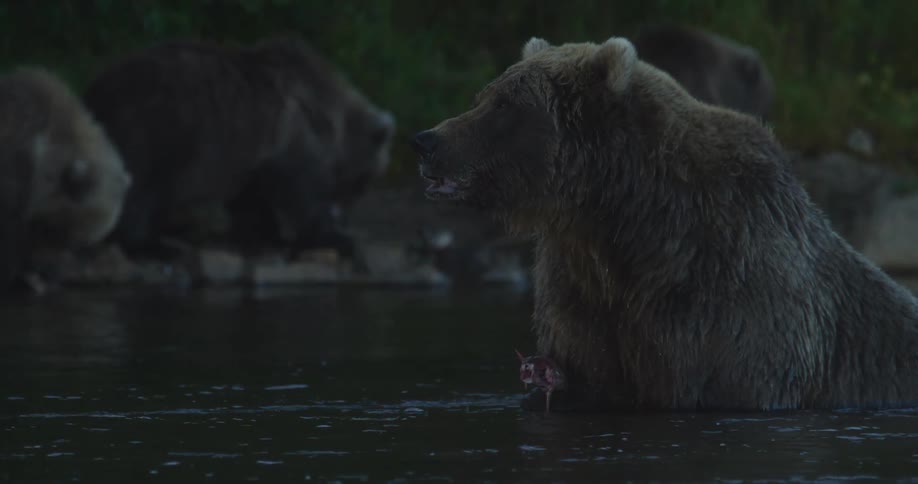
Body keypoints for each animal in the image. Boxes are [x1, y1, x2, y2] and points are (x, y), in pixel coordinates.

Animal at [82, 35, 395, 261]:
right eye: (362, 182)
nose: (344, 219)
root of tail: (95, 89)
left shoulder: (254, 156)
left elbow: (251, 200)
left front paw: (266, 235)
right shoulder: (294, 141)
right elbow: (302, 195)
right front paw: (333, 238)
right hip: (159, 127)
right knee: (141, 188)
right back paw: (156, 245)